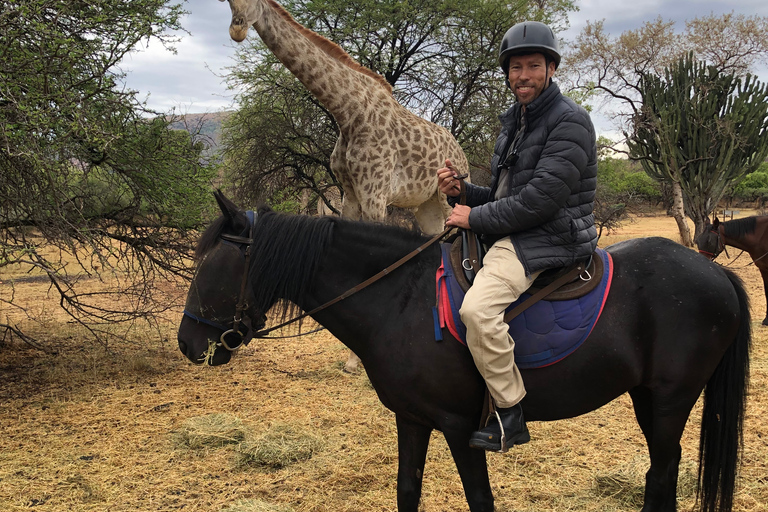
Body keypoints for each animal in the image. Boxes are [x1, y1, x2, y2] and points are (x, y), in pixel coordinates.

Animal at [178, 194, 752, 512]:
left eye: (210, 266)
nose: (188, 343)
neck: (401, 299)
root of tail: (713, 272)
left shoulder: (459, 427)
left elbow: (480, 500)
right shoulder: (411, 420)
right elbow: (407, 491)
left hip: (670, 399)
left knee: (661, 474)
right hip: (647, 397)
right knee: (663, 474)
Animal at [216, 0, 468, 236]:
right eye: (229, 2)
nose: (236, 30)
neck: (349, 113)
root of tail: (461, 152)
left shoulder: (375, 195)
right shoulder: (350, 193)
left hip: (448, 197)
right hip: (426, 204)